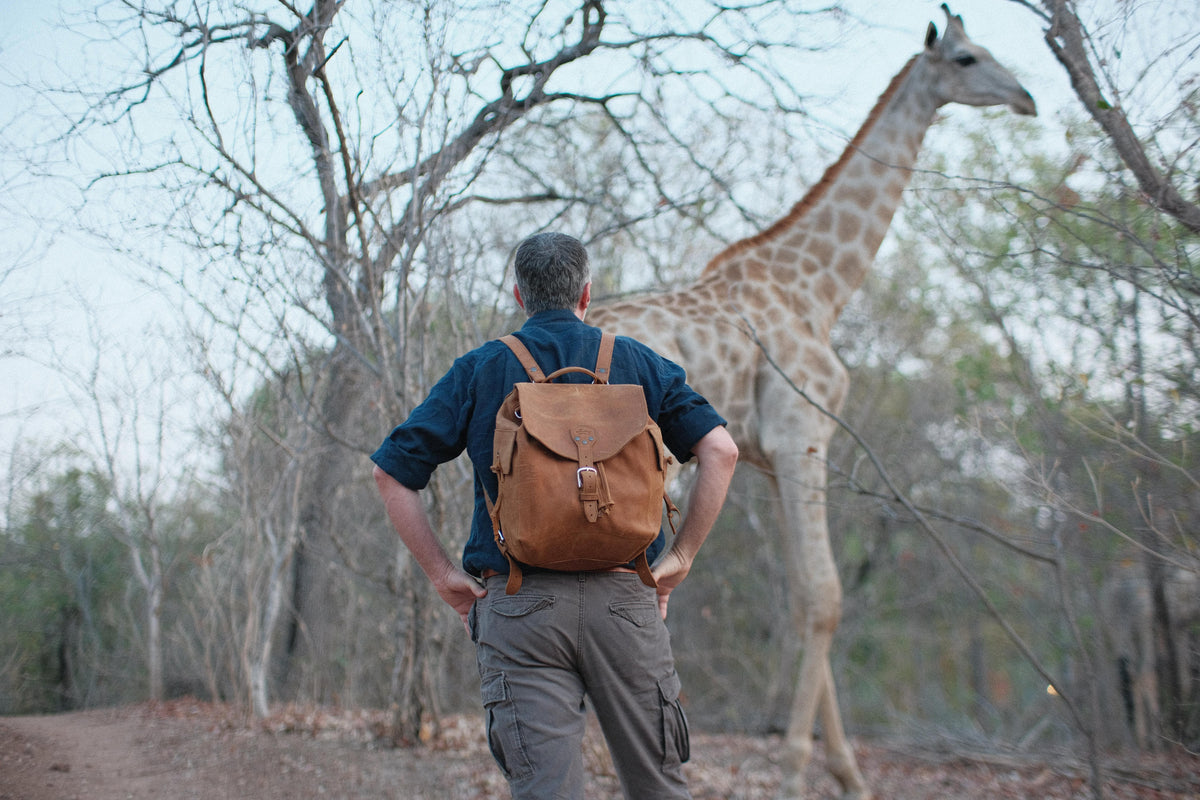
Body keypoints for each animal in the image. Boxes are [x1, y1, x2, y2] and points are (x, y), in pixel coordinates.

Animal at [588, 7, 1036, 798]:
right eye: (966, 57)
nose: (1026, 99)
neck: (822, 287)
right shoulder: (805, 433)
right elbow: (826, 596)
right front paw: (800, 767)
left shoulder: (770, 455)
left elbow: (802, 596)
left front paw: (846, 770)